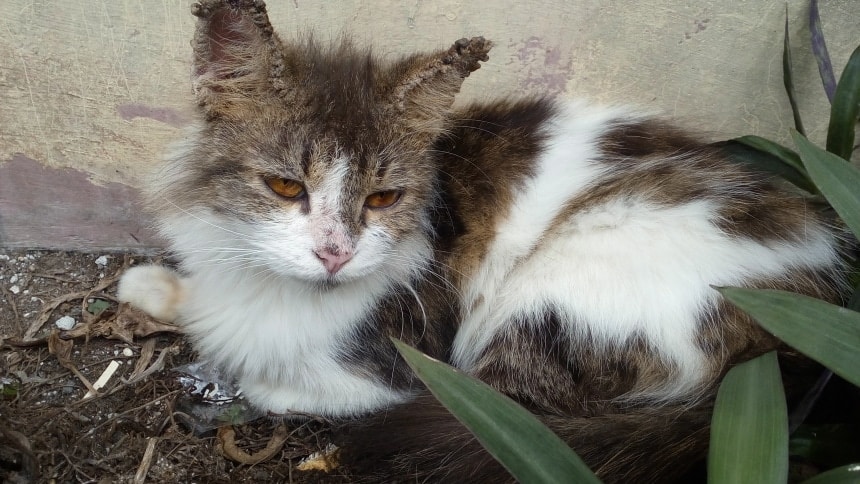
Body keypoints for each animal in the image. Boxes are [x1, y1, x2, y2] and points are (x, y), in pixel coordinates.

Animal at [117, 1, 848, 482]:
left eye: (383, 199)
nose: (335, 254)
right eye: (284, 186)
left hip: (559, 291)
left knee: (501, 414)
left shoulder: (403, 352)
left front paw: (229, 378)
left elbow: (282, 371)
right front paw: (155, 288)